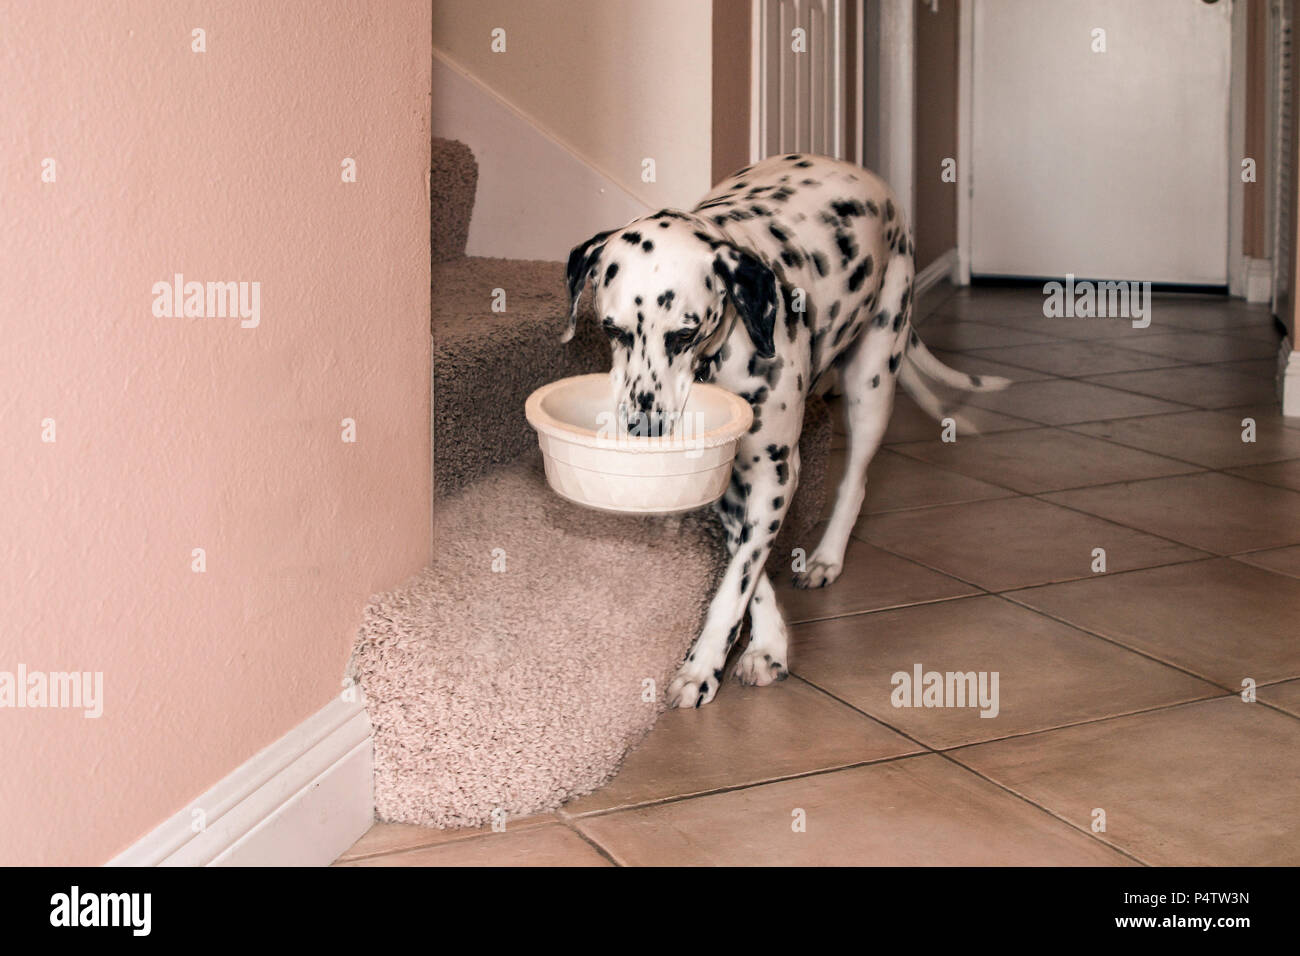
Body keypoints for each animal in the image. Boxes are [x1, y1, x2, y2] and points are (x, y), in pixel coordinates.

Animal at [559, 153, 1003, 707]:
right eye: (611, 329)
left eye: (685, 333)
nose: (645, 426)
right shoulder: (733, 485)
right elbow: (747, 575)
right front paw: (767, 644)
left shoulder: (775, 474)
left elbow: (735, 585)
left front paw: (706, 666)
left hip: (873, 381)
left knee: (856, 481)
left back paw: (827, 557)